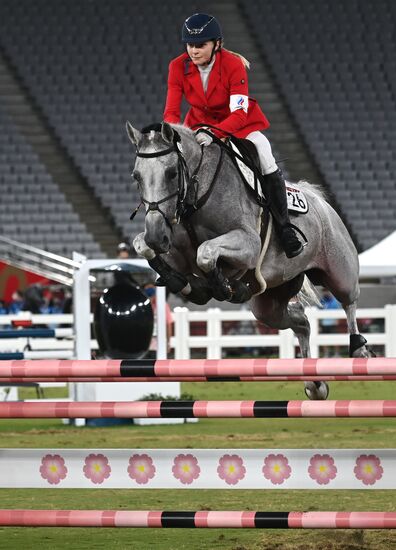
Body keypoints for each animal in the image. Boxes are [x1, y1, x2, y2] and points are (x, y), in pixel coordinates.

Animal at [127, 122, 372, 402]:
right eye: (136, 176)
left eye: (170, 173)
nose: (157, 236)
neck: (195, 197)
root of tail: (319, 199)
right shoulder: (174, 251)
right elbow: (143, 246)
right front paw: (189, 285)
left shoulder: (248, 245)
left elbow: (206, 252)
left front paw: (222, 286)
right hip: (270, 304)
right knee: (301, 321)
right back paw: (314, 383)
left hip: (339, 272)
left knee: (349, 303)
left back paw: (359, 351)